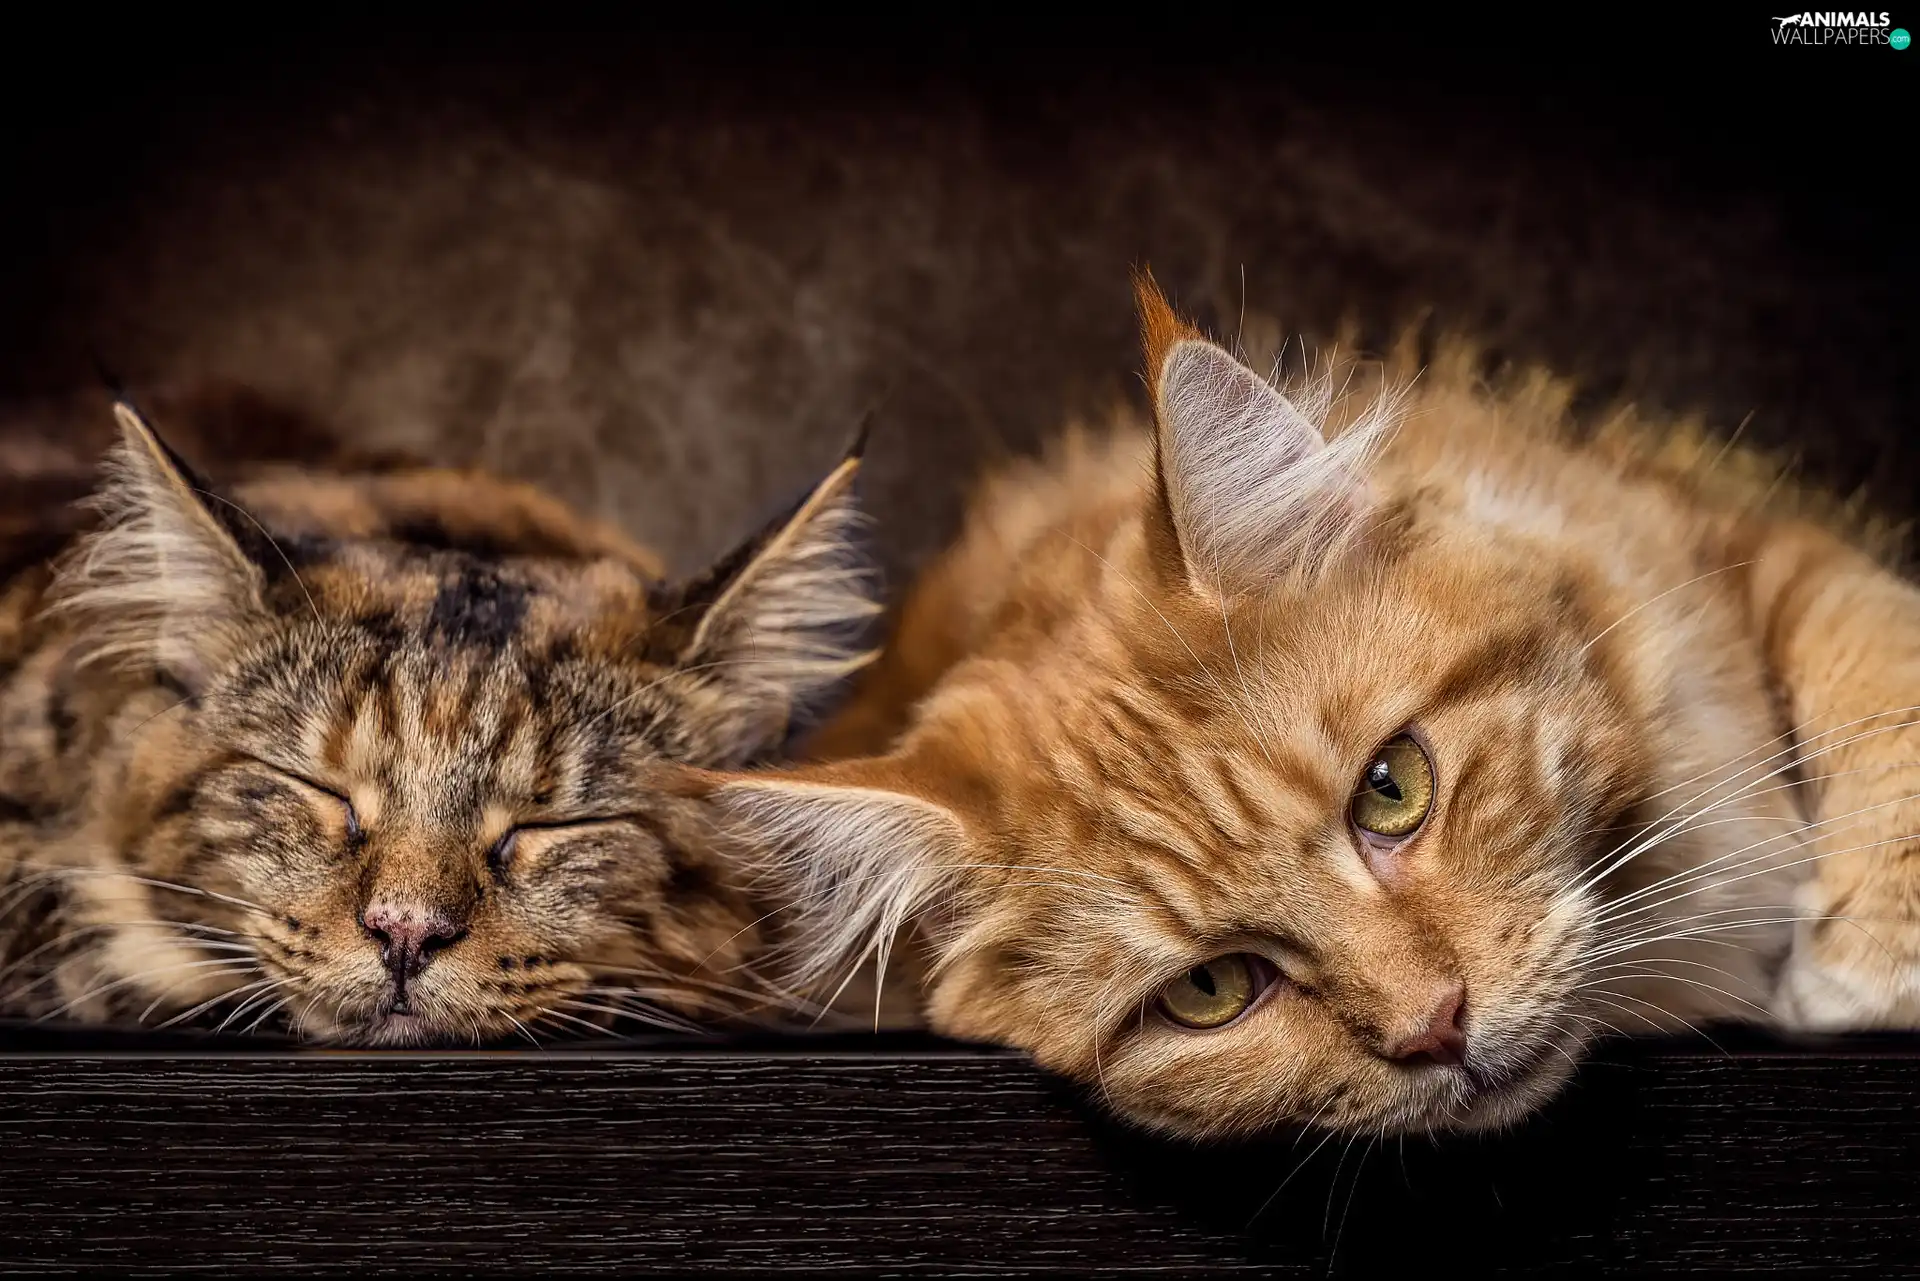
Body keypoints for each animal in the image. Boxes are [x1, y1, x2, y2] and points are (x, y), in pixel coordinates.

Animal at [698, 276, 1920, 1136]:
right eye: (1212, 989)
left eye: (1393, 789)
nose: (1438, 1028)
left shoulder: (1728, 543)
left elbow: (1873, 649)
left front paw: (1873, 951)